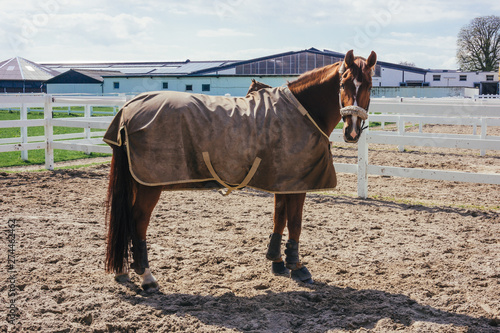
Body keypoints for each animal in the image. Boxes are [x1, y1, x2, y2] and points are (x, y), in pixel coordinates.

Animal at [103, 49, 376, 290]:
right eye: (343, 84)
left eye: (369, 86)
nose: (352, 131)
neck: (302, 110)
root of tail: (127, 109)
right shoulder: (298, 184)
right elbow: (295, 223)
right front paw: (297, 267)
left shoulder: (283, 181)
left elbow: (279, 218)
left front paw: (277, 261)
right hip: (149, 185)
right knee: (138, 221)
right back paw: (147, 276)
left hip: (138, 182)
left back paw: (123, 270)